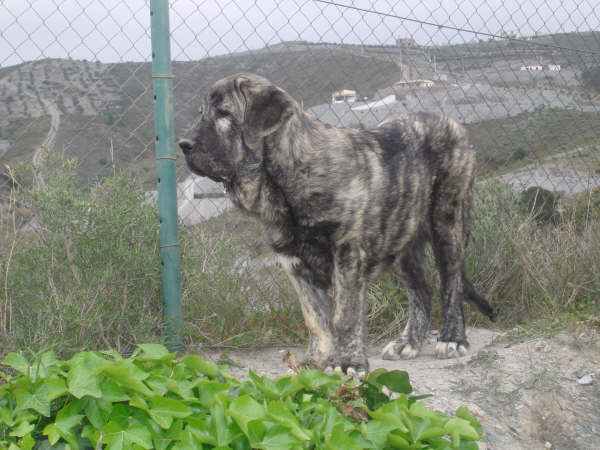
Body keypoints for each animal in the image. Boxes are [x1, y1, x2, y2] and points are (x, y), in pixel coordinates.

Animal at [179, 73, 496, 372]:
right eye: (202, 112)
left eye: (224, 113)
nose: (183, 145)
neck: (286, 180)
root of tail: (451, 122)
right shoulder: (294, 263)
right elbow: (315, 319)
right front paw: (314, 362)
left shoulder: (347, 254)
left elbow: (345, 315)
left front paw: (347, 363)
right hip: (403, 236)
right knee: (422, 289)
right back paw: (409, 342)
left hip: (447, 222)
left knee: (451, 283)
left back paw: (452, 339)